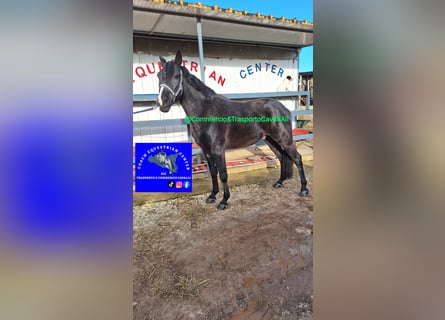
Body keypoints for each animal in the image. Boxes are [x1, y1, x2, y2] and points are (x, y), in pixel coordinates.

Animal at [157, 50, 308, 210]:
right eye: (159, 75)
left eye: (176, 76)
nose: (162, 103)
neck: (206, 110)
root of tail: (282, 107)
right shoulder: (206, 150)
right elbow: (213, 173)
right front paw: (212, 196)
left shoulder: (218, 149)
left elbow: (223, 174)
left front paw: (224, 201)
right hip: (270, 140)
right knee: (281, 157)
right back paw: (279, 182)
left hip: (285, 140)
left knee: (297, 158)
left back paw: (304, 189)